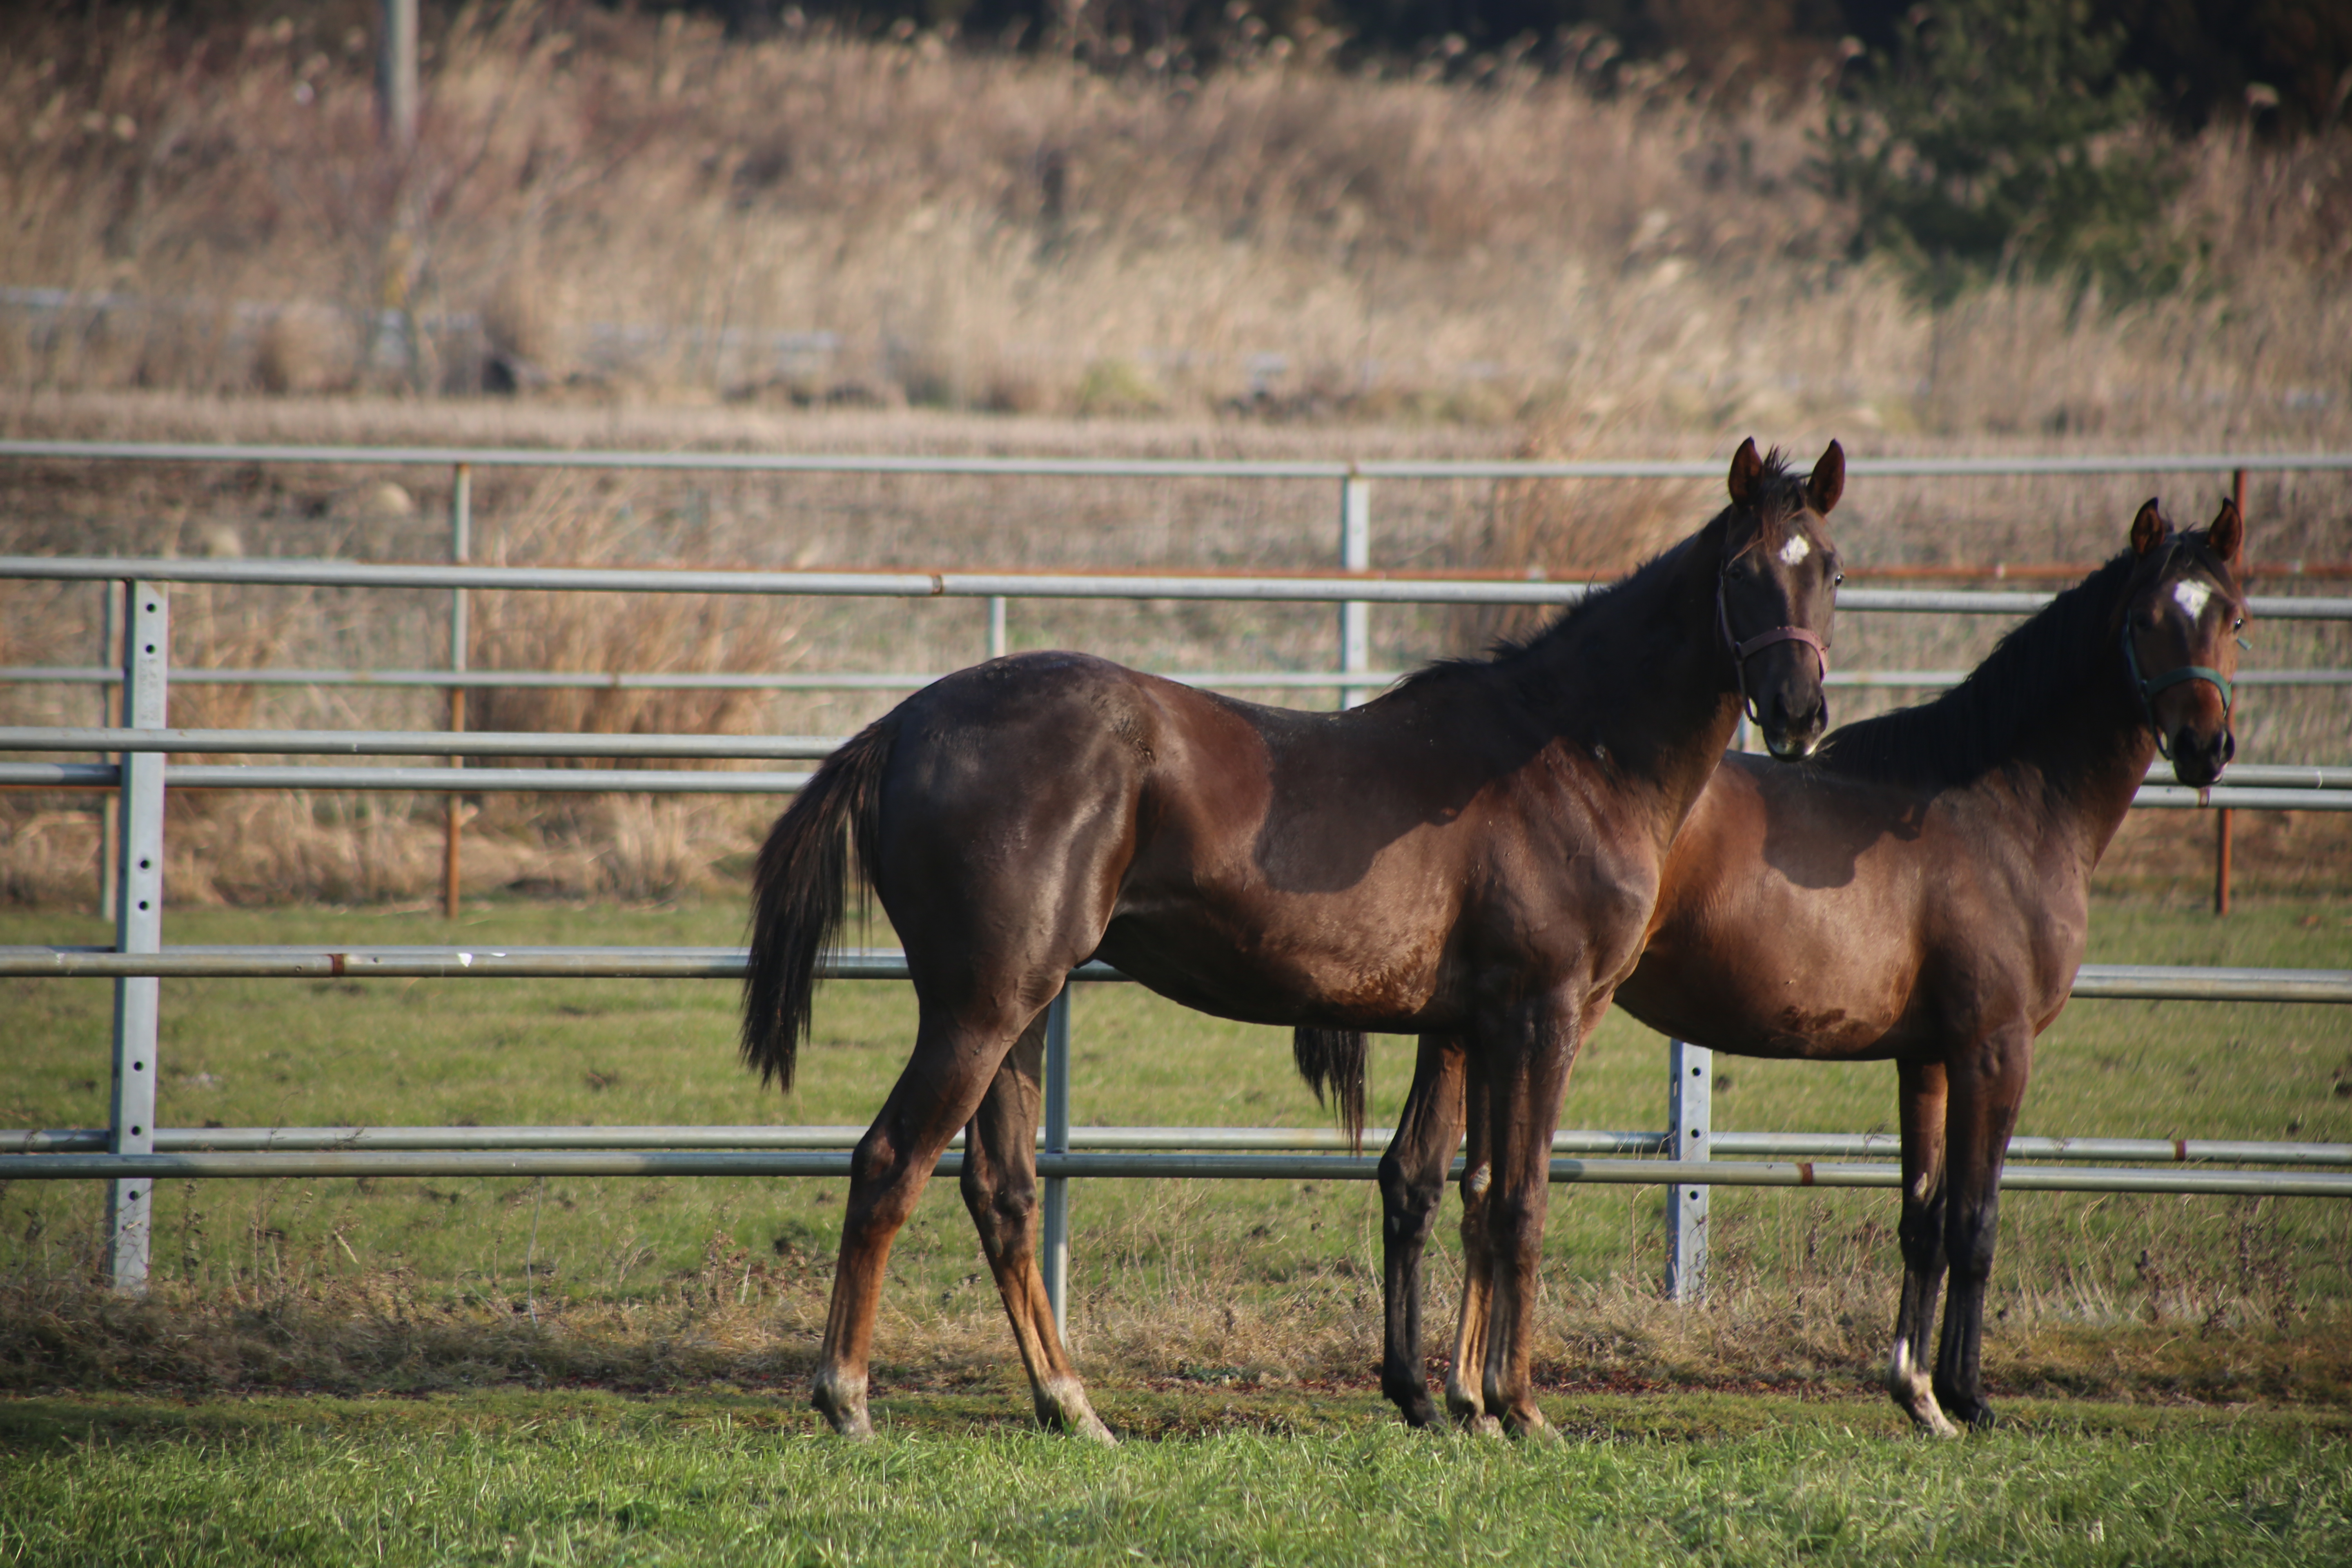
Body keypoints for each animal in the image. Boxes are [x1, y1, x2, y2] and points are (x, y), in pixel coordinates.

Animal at [743, 442, 1844, 1448]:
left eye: (1828, 567)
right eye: (1740, 570)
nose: (1798, 714)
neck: (1571, 751)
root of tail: (904, 724)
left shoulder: (1471, 1025)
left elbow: (1455, 1188)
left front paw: (1454, 1403)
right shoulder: (1545, 1016)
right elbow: (1520, 1203)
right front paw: (1520, 1408)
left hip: (1017, 1012)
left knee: (1001, 1192)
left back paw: (1070, 1404)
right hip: (979, 1010)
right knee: (889, 1164)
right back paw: (846, 1397)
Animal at [1373, 496, 2239, 1439]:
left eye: (2233, 616)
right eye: (2148, 619)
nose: (2205, 744)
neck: (2001, 808)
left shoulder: (1926, 1058)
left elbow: (1924, 1218)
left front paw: (1918, 1393)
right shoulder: (1994, 1047)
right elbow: (1976, 1223)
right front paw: (1969, 1397)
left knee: (1463, 1184)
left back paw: (1462, 1393)